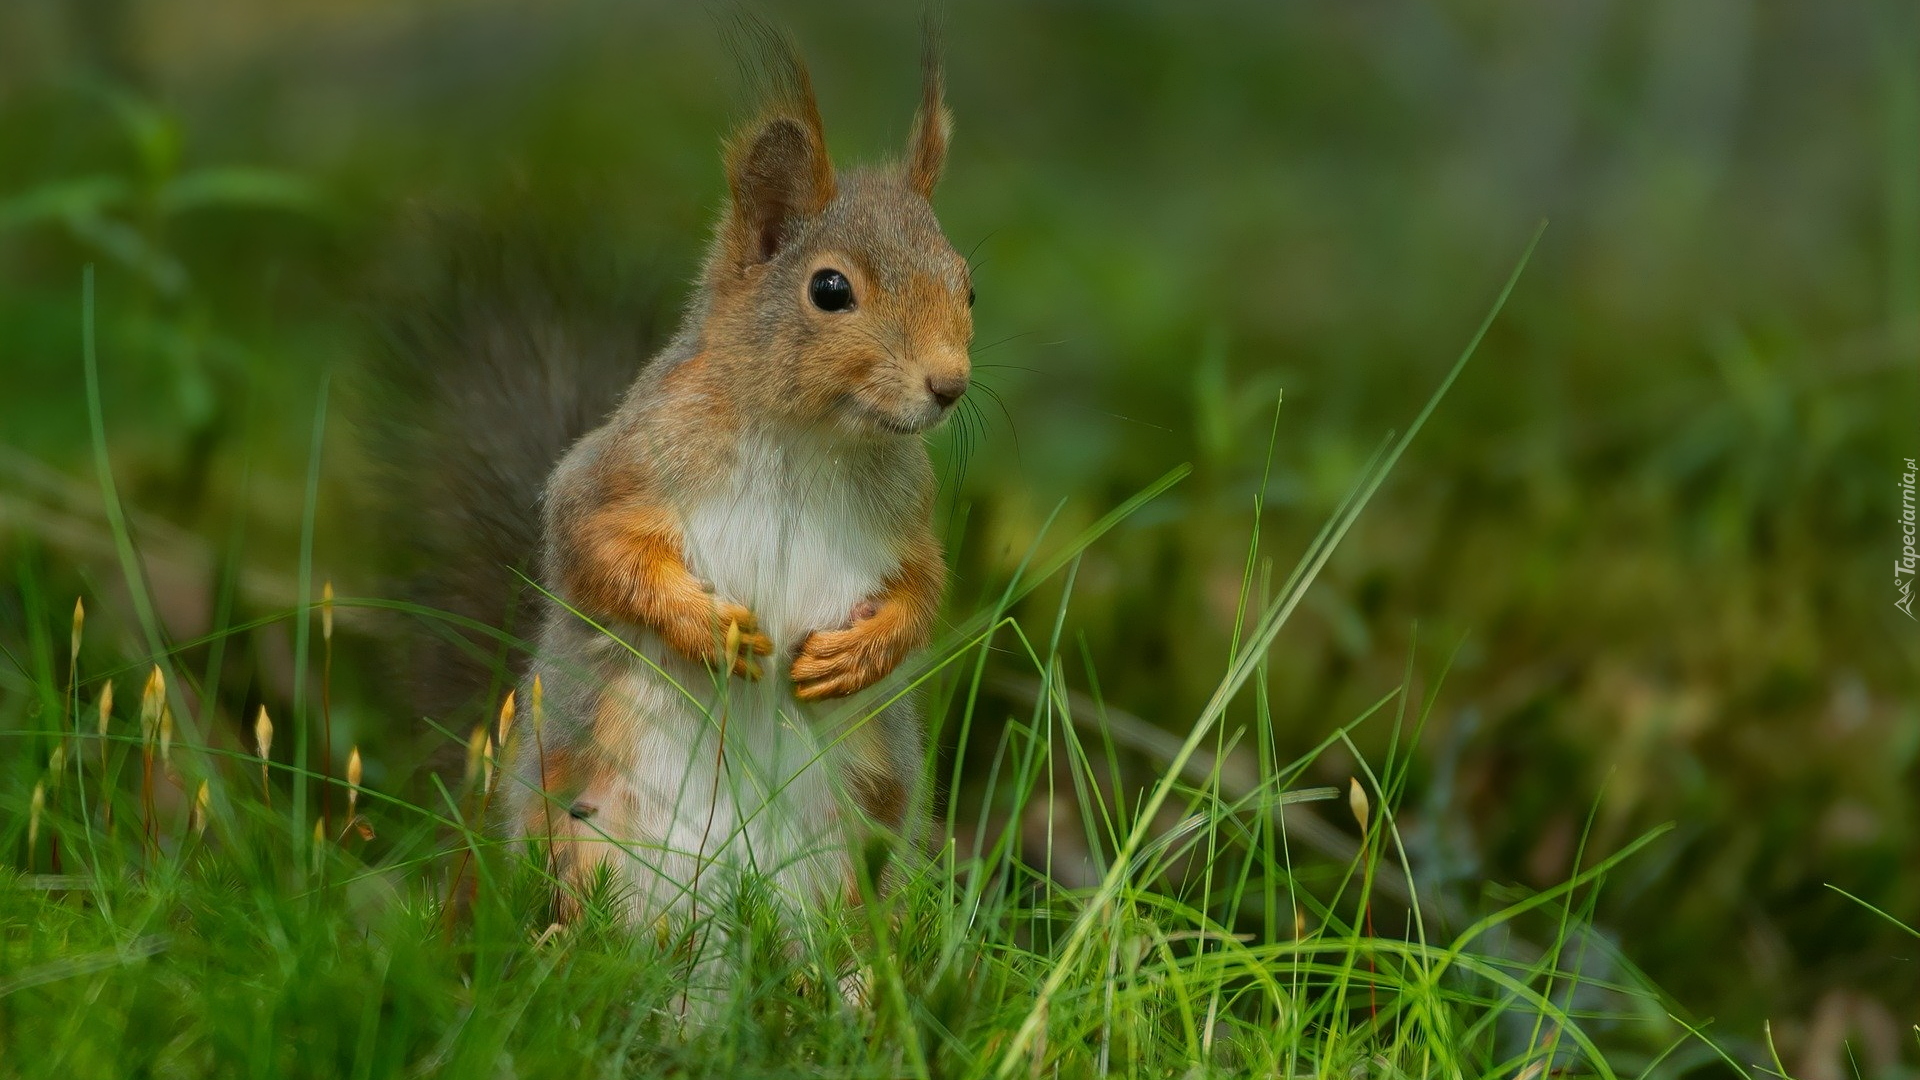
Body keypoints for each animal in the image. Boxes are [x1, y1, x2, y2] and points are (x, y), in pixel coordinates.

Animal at [376, 35, 975, 933]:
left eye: (967, 283)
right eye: (830, 289)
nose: (950, 385)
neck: (807, 440)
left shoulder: (908, 515)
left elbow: (924, 587)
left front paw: (861, 653)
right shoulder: (623, 464)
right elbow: (591, 544)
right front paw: (712, 631)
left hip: (857, 858)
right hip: (578, 824)